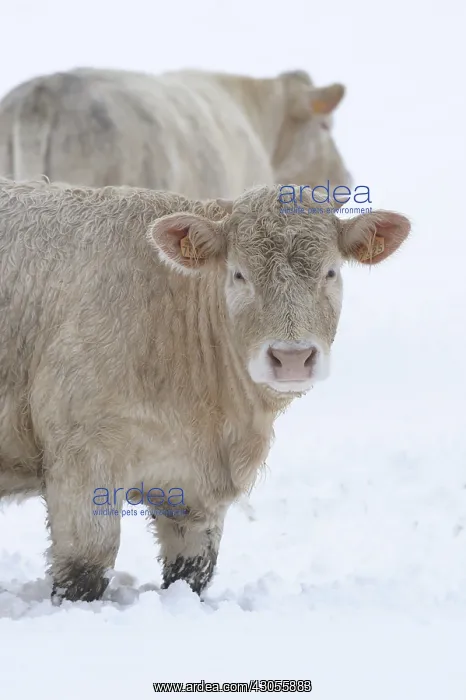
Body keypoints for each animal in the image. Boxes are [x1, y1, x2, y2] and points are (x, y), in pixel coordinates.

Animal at [0, 178, 410, 602]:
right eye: (239, 275)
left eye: (330, 272)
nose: (292, 357)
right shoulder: (82, 456)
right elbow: (85, 570)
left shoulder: (195, 491)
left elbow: (191, 573)